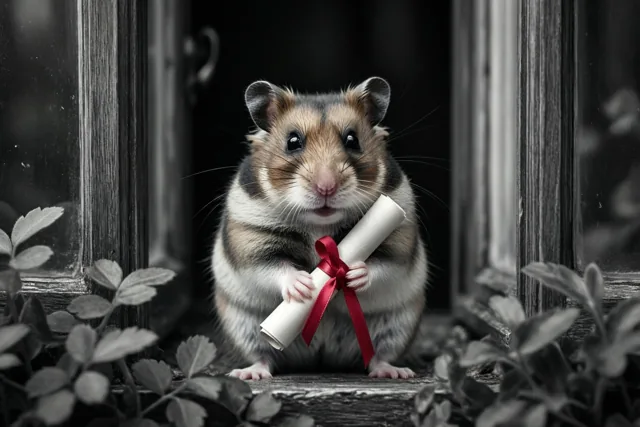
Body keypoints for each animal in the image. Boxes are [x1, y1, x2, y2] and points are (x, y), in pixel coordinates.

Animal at [211, 77, 429, 380]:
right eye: (292, 141)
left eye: (352, 140)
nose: (326, 187)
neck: (319, 224)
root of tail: (320, 358)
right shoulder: (250, 238)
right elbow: (270, 266)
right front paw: (302, 285)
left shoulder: (400, 238)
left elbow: (383, 265)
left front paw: (355, 274)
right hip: (244, 326)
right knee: (263, 355)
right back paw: (249, 373)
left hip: (397, 324)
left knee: (379, 356)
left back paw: (396, 373)